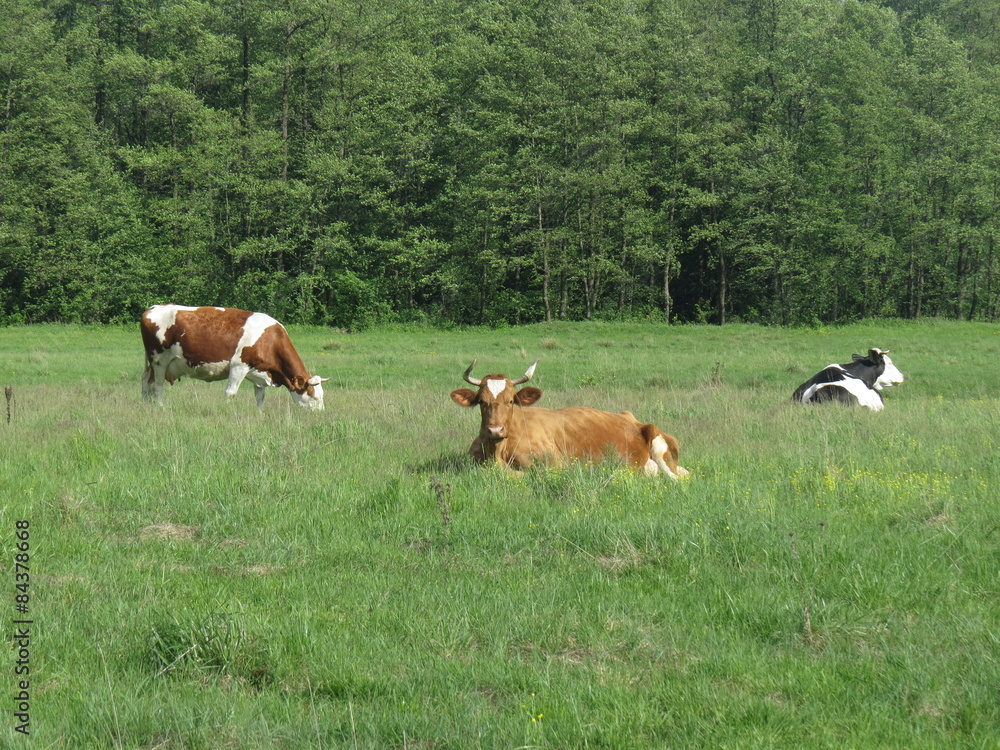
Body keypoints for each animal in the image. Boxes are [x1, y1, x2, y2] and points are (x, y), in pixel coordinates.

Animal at [140, 306, 328, 412]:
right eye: (313, 396)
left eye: (322, 396)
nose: (320, 414)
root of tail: (152, 308)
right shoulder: (239, 366)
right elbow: (230, 393)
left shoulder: (258, 371)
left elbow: (260, 396)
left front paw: (260, 414)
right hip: (159, 360)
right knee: (157, 386)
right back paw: (161, 407)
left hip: (151, 363)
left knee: (146, 381)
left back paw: (145, 406)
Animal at [452, 362, 692, 478]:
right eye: (481, 402)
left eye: (511, 401)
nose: (495, 430)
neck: (498, 452)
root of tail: (632, 418)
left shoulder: (554, 465)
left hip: (659, 447)